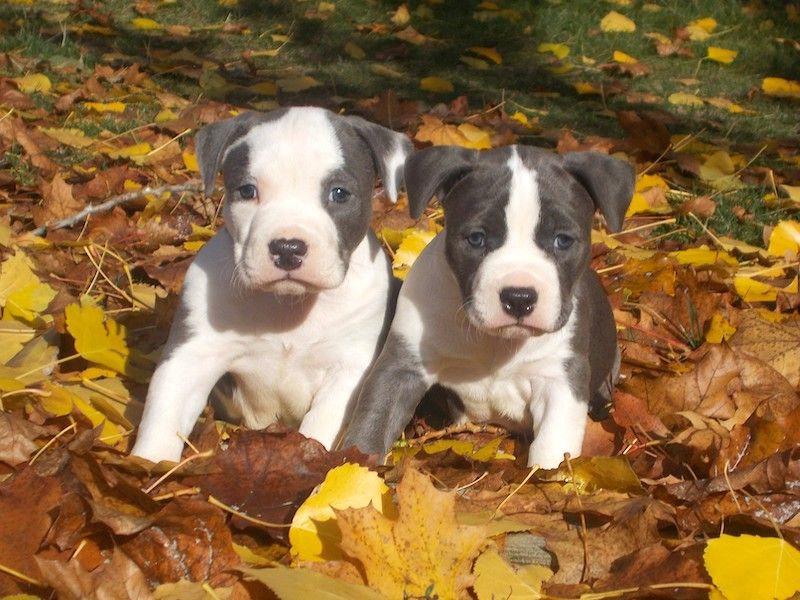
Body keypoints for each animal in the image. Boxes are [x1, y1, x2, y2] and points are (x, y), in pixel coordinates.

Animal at [131, 108, 412, 462]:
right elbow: (164, 413)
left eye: (339, 193)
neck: (287, 305)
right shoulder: (192, 355)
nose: (288, 248)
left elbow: (321, 425)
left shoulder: (349, 368)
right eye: (247, 191)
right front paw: (147, 464)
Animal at [340, 144, 636, 468]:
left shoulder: (560, 379)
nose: (519, 297)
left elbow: (552, 448)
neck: (497, 344)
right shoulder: (401, 367)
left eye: (563, 240)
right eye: (476, 238)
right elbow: (373, 421)